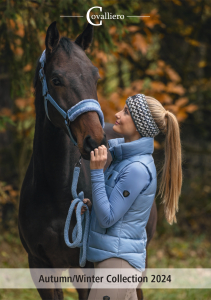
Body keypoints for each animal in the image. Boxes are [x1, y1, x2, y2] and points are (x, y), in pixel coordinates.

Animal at [17, 21, 157, 300]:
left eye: (96, 77)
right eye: (56, 79)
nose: (95, 141)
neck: (55, 190)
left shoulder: (86, 268)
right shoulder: (39, 264)